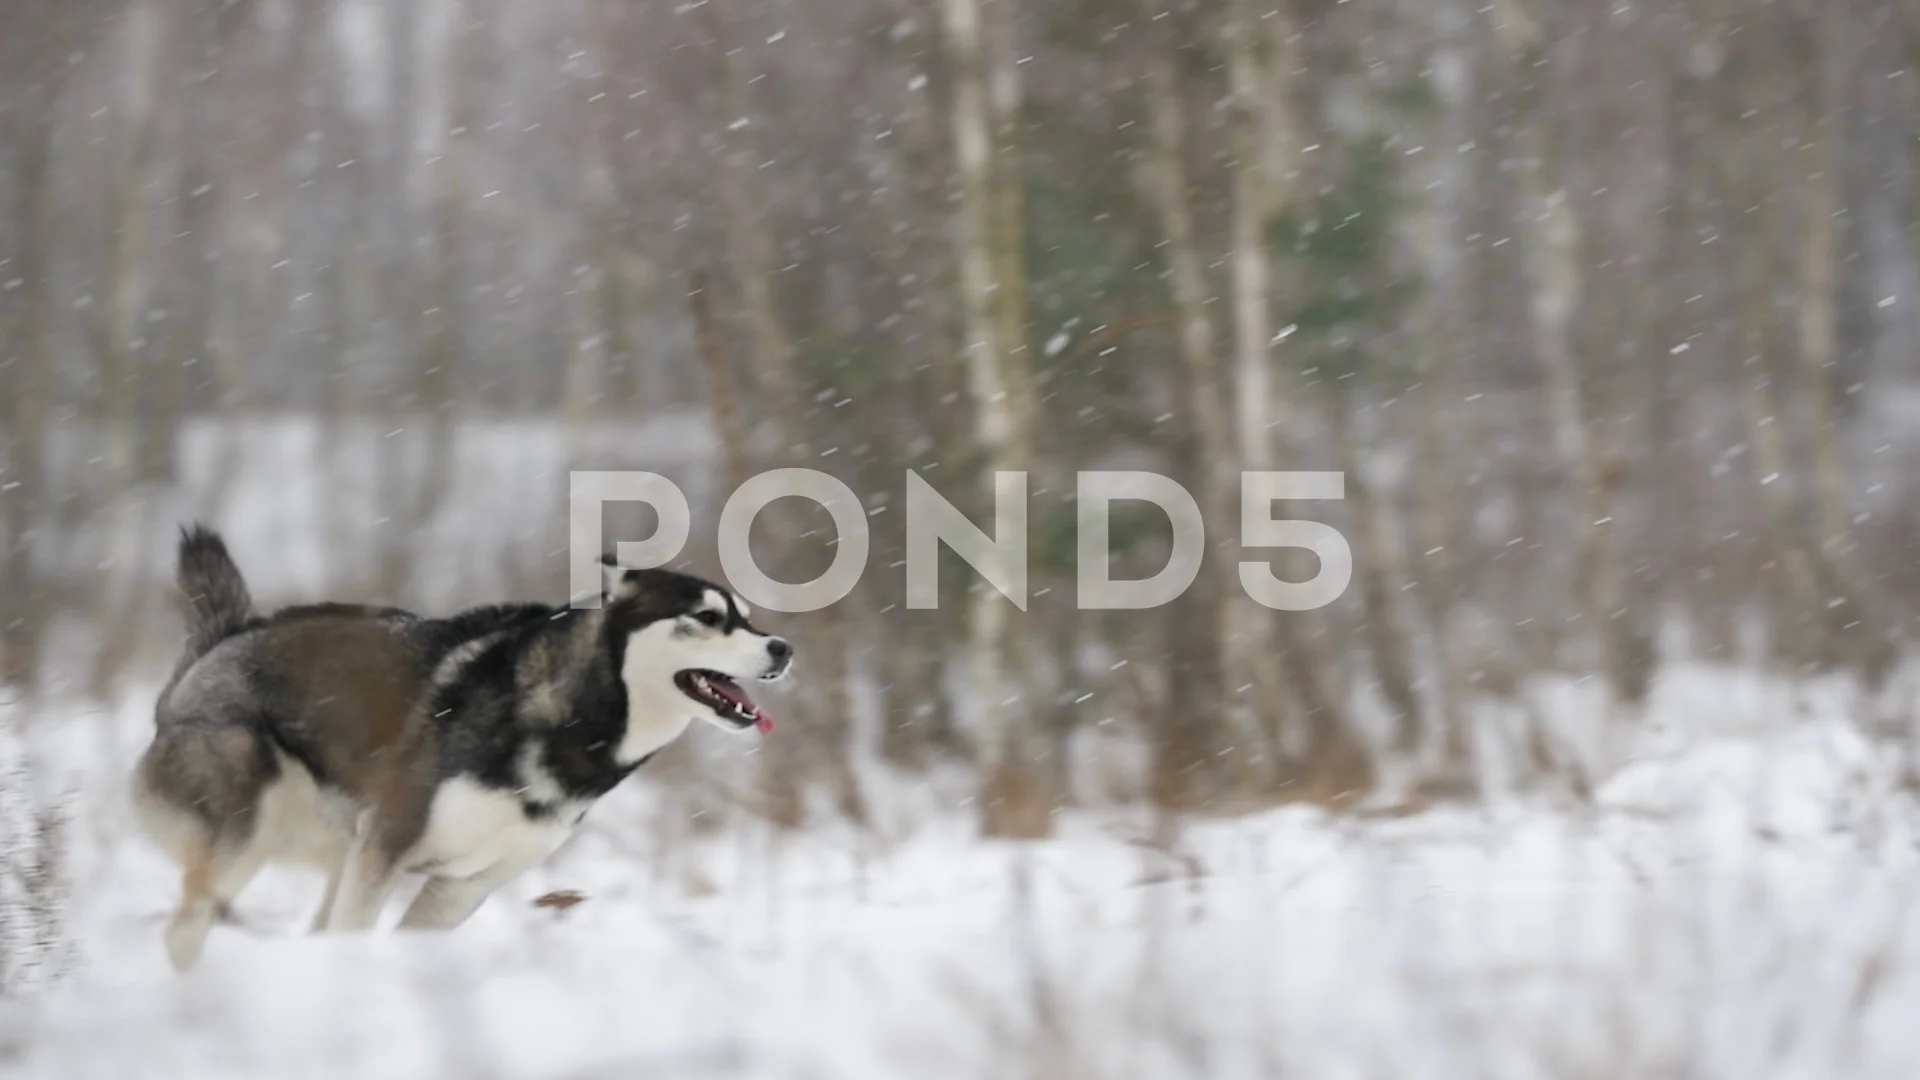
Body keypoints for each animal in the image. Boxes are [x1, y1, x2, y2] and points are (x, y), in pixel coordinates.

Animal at [135, 522, 791, 968]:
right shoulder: (386, 848)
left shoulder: (462, 886)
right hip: (252, 827)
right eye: (705, 618)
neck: (569, 720)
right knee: (184, 930)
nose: (783, 647)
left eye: (747, 618)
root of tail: (218, 643)